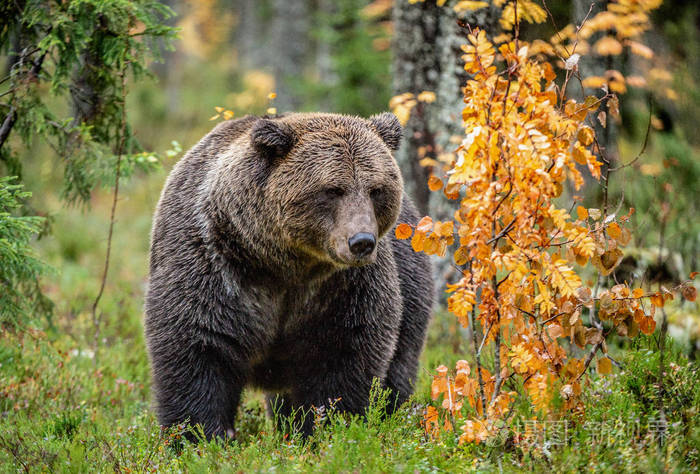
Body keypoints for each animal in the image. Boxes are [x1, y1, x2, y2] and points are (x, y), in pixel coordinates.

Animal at [144, 111, 432, 436]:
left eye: (376, 189)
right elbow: (197, 347)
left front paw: (328, 428)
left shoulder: (344, 287)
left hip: (412, 284)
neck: (282, 263)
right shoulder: (213, 262)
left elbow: (345, 357)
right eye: (332, 189)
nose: (361, 242)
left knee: (398, 369)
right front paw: (199, 434)